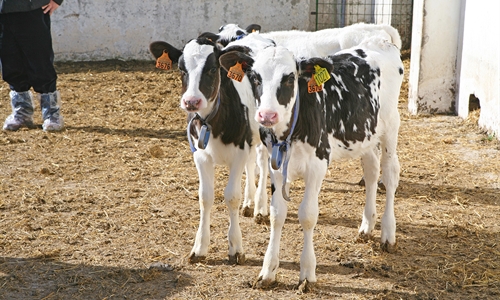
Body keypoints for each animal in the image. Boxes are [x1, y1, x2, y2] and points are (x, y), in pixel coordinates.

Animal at [148, 36, 268, 264]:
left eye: (213, 69)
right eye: (181, 69)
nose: (191, 101)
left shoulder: (239, 152)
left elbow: (231, 196)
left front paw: (236, 248)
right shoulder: (200, 155)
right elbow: (205, 197)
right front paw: (200, 247)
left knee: (263, 165)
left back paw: (260, 207)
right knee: (251, 165)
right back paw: (249, 203)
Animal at [221, 35, 404, 290]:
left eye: (290, 78)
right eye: (256, 78)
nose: (267, 115)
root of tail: (379, 40)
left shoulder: (318, 164)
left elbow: (307, 215)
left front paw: (307, 273)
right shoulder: (276, 167)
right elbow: (277, 215)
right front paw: (268, 270)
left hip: (390, 128)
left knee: (389, 174)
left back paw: (388, 234)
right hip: (365, 135)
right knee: (371, 172)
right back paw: (367, 226)